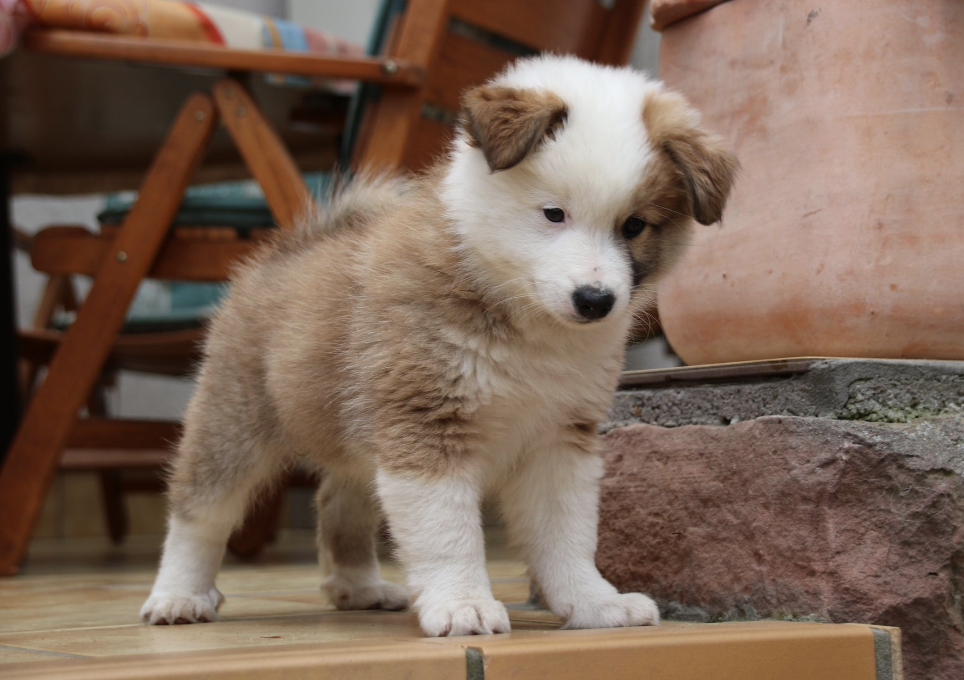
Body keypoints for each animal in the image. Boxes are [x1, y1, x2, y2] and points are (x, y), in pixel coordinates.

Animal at [139, 54, 736, 636]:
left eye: (635, 225)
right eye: (553, 213)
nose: (595, 301)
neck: (522, 318)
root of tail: (290, 247)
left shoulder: (558, 441)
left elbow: (567, 537)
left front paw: (593, 603)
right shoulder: (427, 428)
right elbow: (449, 536)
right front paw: (463, 605)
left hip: (357, 437)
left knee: (338, 501)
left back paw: (357, 587)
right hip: (233, 424)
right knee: (198, 512)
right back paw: (178, 596)